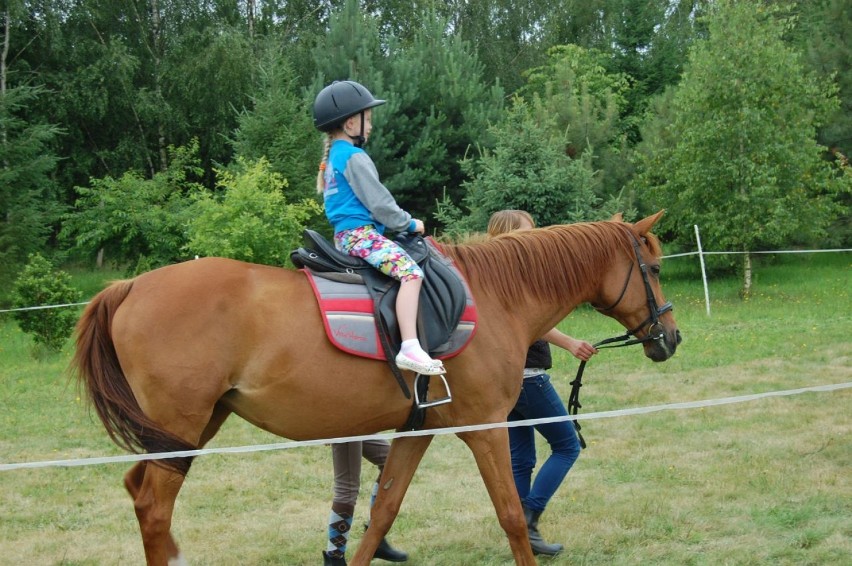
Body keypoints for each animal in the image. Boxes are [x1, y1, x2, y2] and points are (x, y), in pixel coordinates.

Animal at [71, 212, 680, 566]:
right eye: (652, 267)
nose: (670, 337)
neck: (495, 297)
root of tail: (129, 287)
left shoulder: (416, 432)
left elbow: (383, 511)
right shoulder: (486, 430)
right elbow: (510, 514)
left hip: (191, 429)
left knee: (138, 492)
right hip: (180, 426)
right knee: (153, 507)